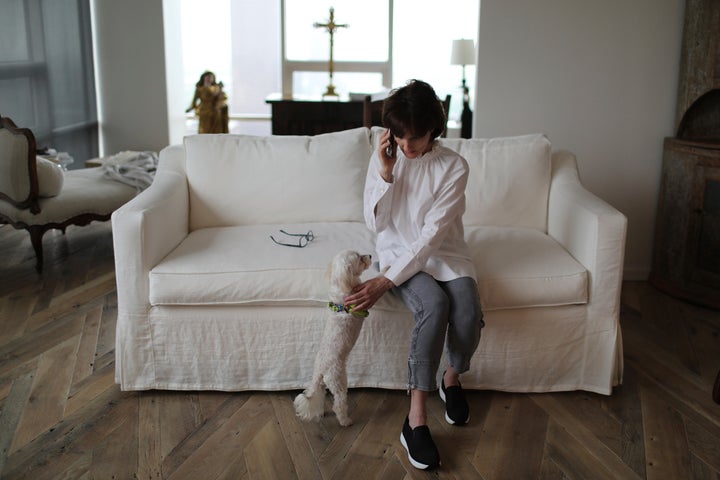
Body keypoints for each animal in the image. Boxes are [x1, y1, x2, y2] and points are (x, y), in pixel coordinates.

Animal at [292, 249, 372, 426]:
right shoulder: (361, 302)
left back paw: (320, 412)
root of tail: (321, 371)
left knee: (319, 397)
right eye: (359, 258)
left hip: (322, 386)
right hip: (339, 380)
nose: (370, 256)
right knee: (339, 404)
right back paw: (346, 421)